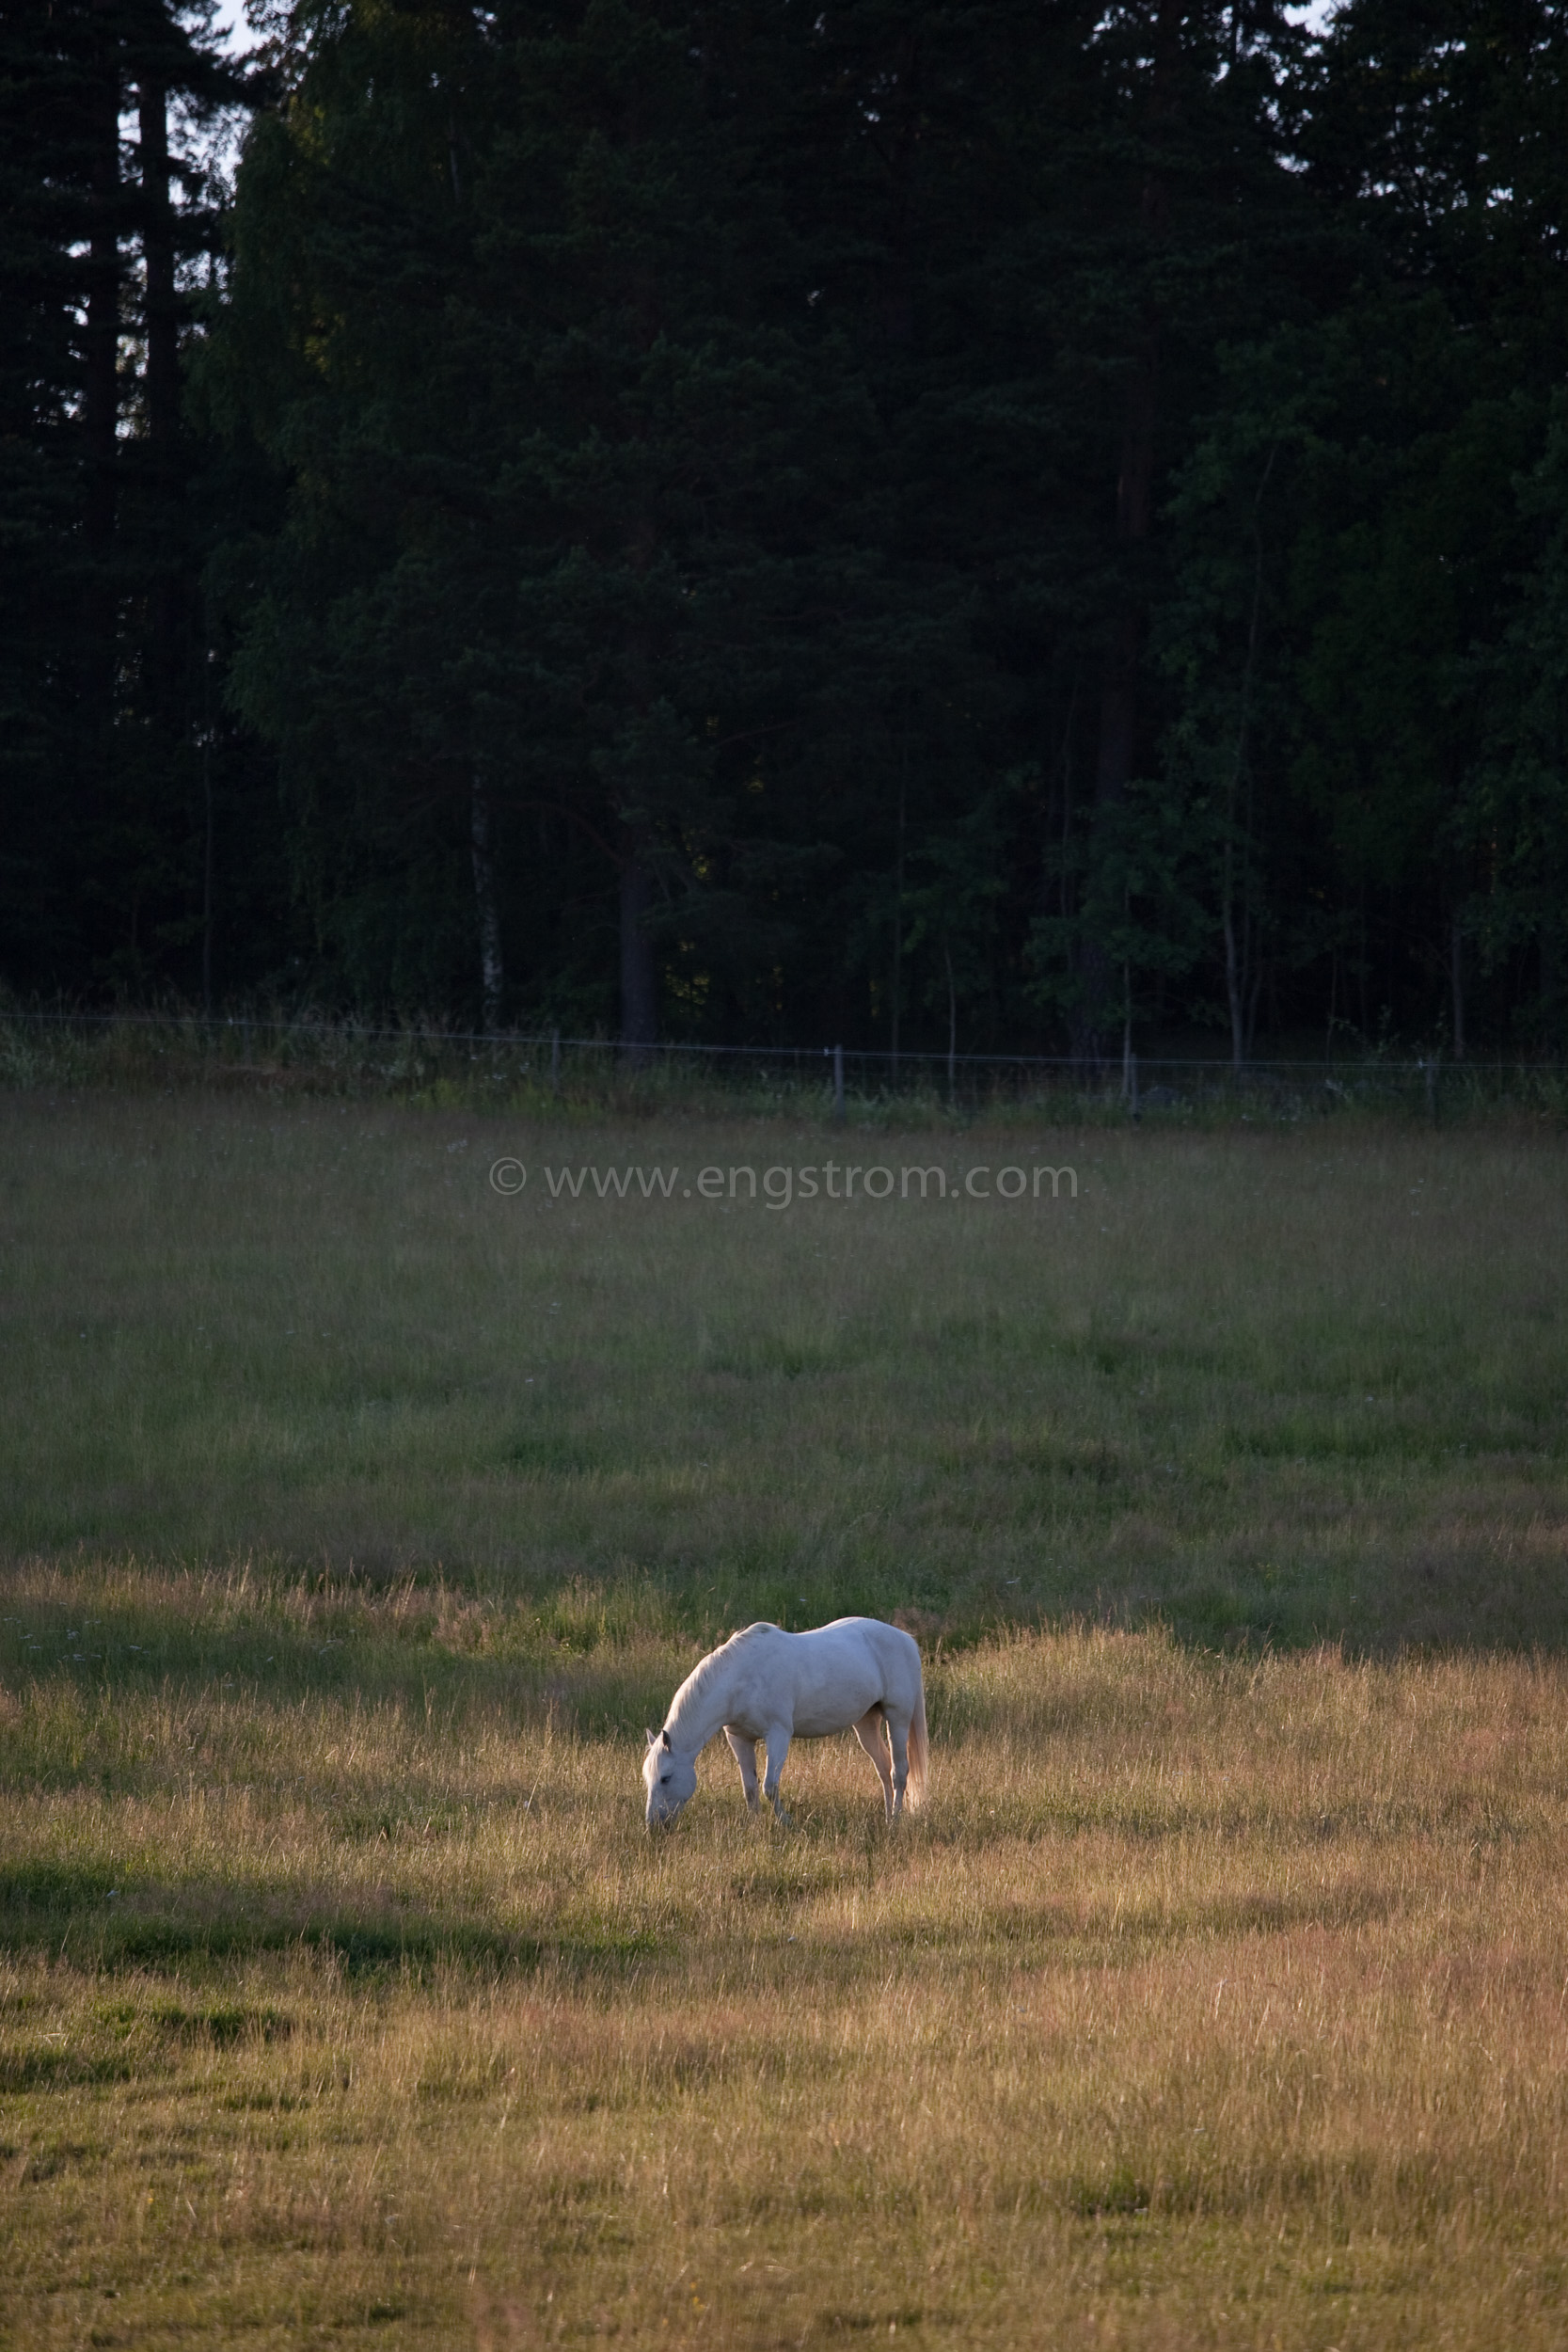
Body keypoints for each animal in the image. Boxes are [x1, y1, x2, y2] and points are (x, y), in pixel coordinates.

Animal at [639, 1618, 926, 1835]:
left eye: (665, 1778)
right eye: (648, 1777)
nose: (653, 1825)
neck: (741, 1678)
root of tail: (906, 1639)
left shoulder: (778, 1734)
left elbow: (770, 1786)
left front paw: (787, 1824)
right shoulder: (739, 1738)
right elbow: (750, 1788)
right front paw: (754, 1827)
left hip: (897, 1718)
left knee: (899, 1772)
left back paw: (895, 1822)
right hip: (866, 1723)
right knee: (884, 1769)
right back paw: (887, 1818)